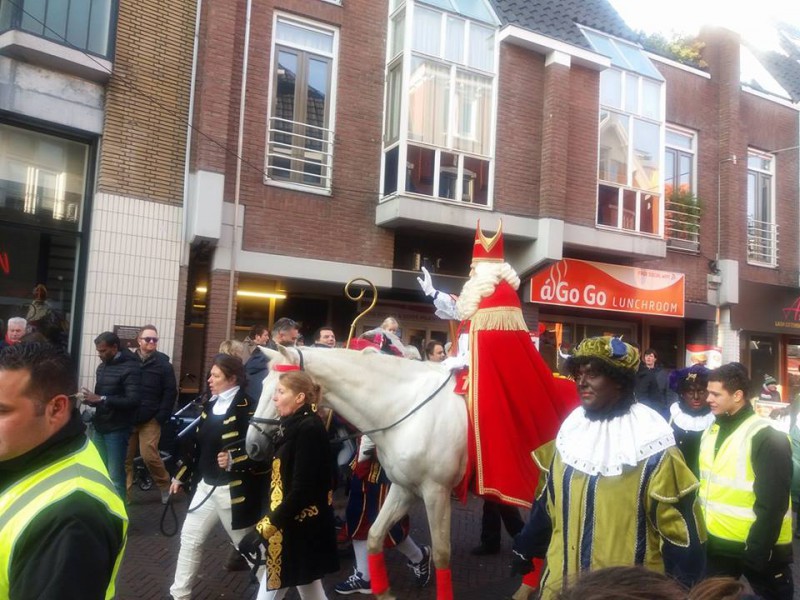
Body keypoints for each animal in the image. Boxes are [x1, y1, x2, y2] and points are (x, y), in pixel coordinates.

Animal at [245, 344, 468, 600]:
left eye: (278, 390)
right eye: (263, 385)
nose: (251, 445)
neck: (408, 408)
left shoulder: (436, 491)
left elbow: (442, 554)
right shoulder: (404, 487)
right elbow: (374, 536)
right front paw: (384, 592)